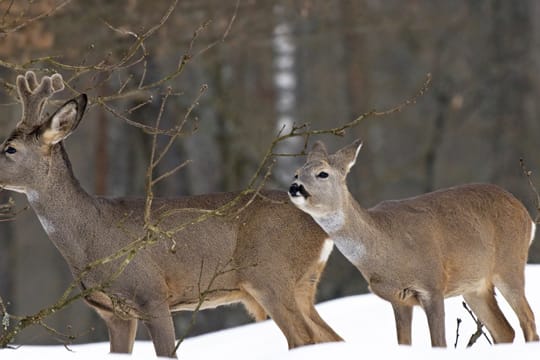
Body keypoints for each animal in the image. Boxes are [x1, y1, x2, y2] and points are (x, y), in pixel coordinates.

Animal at [0, 71, 342, 358]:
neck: (90, 239)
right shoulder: (113, 313)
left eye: (10, 148)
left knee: (304, 338)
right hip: (301, 283)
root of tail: (322, 227)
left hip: (270, 274)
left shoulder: (152, 294)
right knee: (329, 337)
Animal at [292, 138, 540, 346]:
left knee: (528, 320)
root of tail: (526, 215)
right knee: (505, 331)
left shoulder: (433, 285)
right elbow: (404, 343)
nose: (295, 187)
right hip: (474, 286)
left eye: (323, 174)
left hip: (510, 264)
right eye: (296, 174)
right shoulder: (399, 299)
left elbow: (439, 343)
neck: (385, 250)